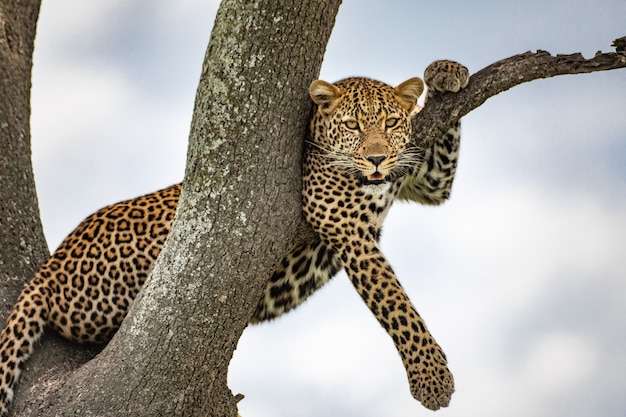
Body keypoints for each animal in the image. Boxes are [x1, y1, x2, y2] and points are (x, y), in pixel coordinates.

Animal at [0, 60, 468, 414]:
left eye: (390, 123)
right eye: (352, 124)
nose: (376, 158)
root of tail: (48, 269)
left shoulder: (425, 182)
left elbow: (441, 162)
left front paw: (446, 72)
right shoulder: (347, 230)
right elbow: (397, 306)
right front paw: (432, 379)